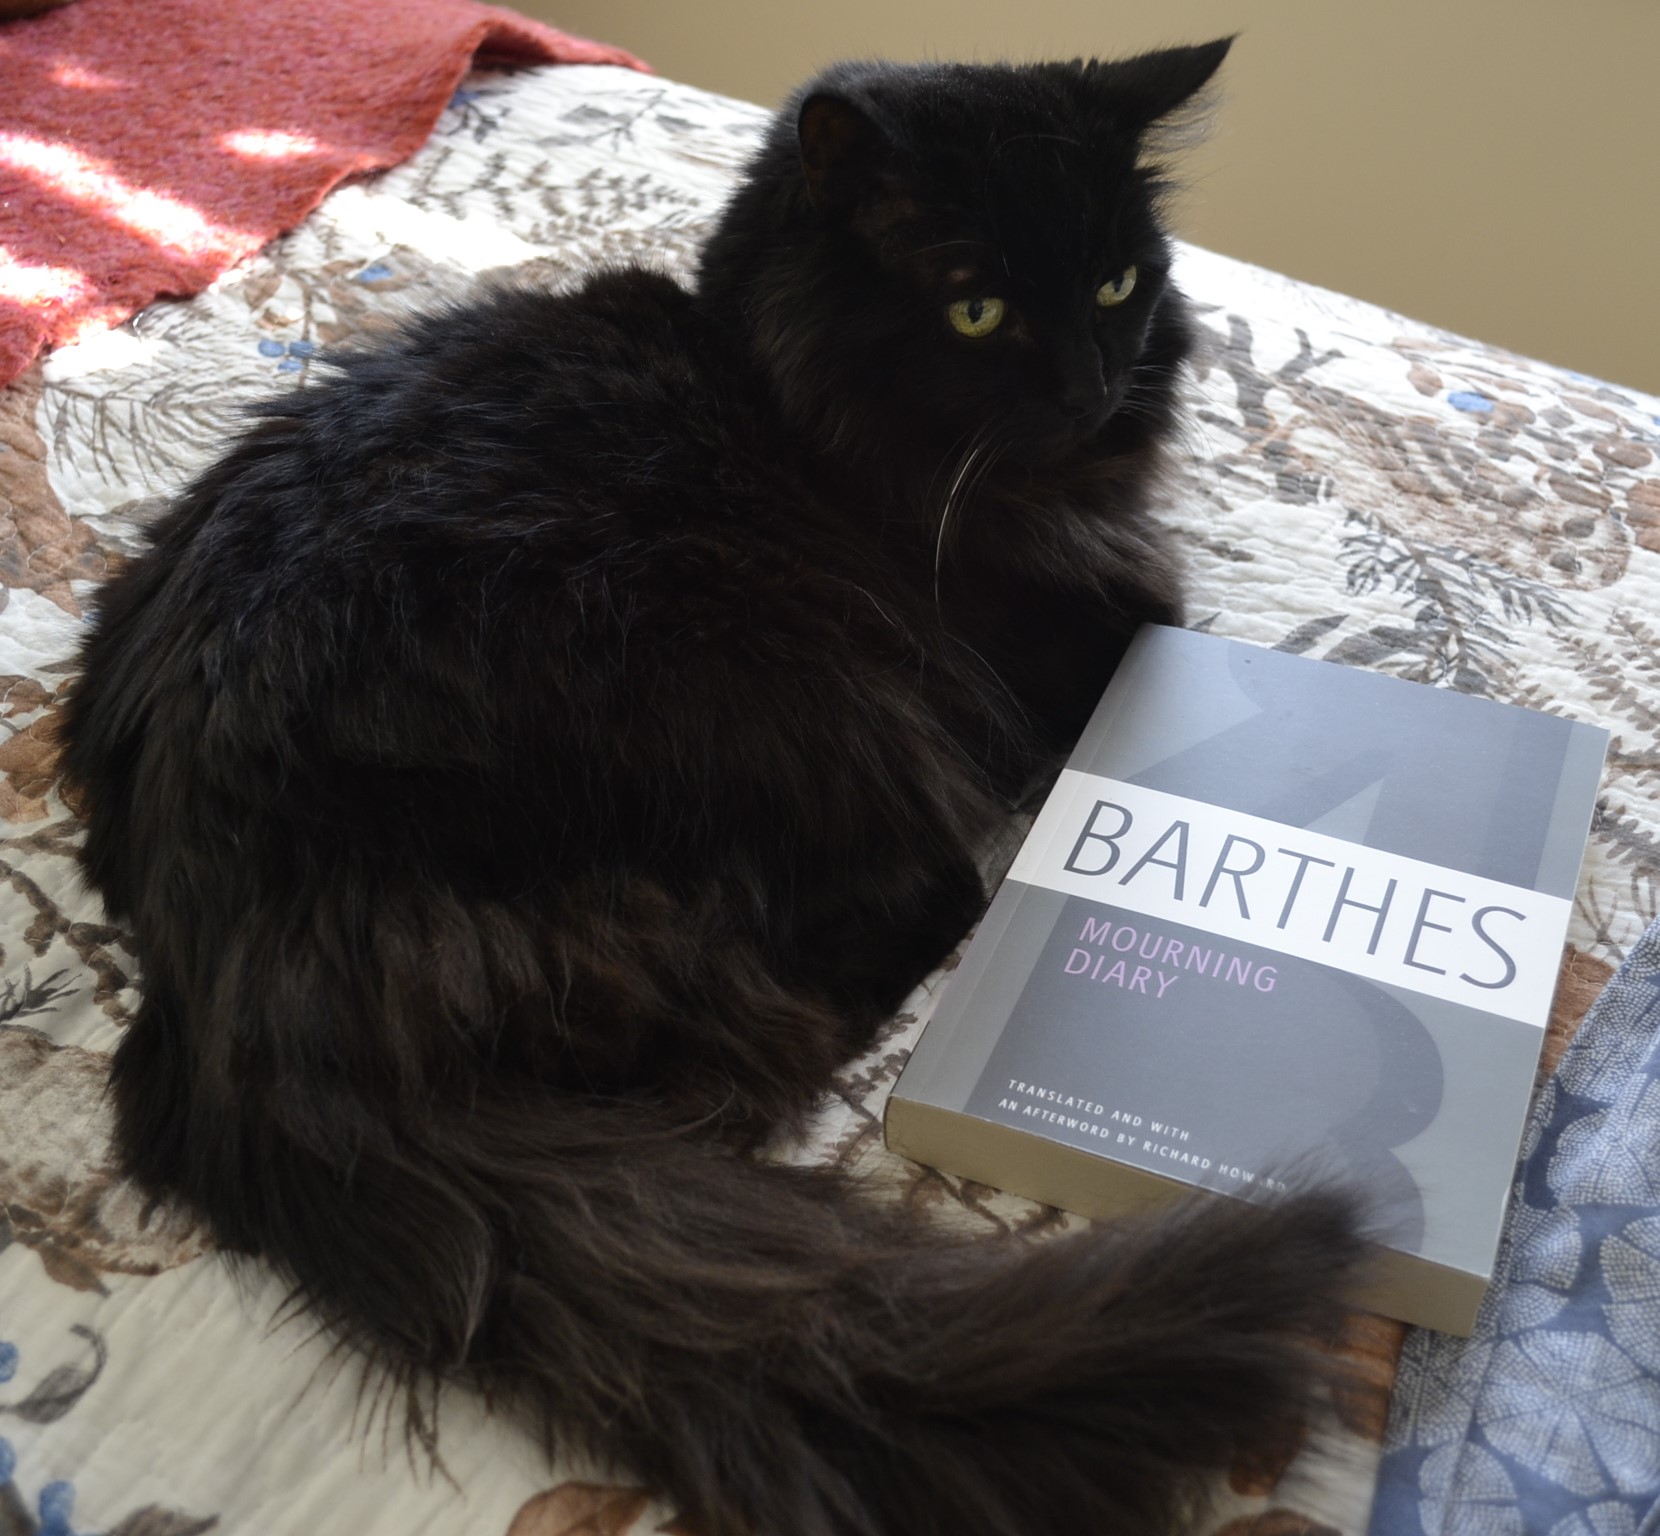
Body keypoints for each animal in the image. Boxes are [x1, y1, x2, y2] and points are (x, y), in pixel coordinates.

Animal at [64, 41, 1361, 1534]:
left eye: (1113, 284)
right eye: (976, 308)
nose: (1099, 382)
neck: (784, 395)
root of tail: (229, 981)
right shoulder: (1069, 641)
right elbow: (1175, 609)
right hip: (801, 686)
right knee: (786, 1027)